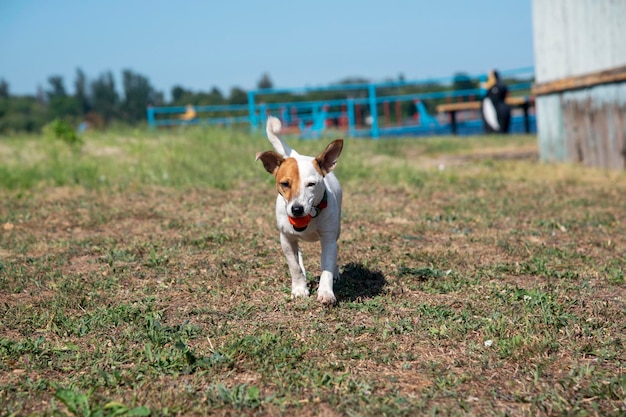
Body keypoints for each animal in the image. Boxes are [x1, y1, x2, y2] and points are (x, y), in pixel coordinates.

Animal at [254, 115, 342, 304]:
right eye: (285, 184)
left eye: (311, 184)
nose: (297, 209)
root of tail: (297, 155)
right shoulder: (286, 239)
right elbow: (294, 265)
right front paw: (300, 289)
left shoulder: (328, 237)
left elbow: (327, 266)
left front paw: (326, 293)